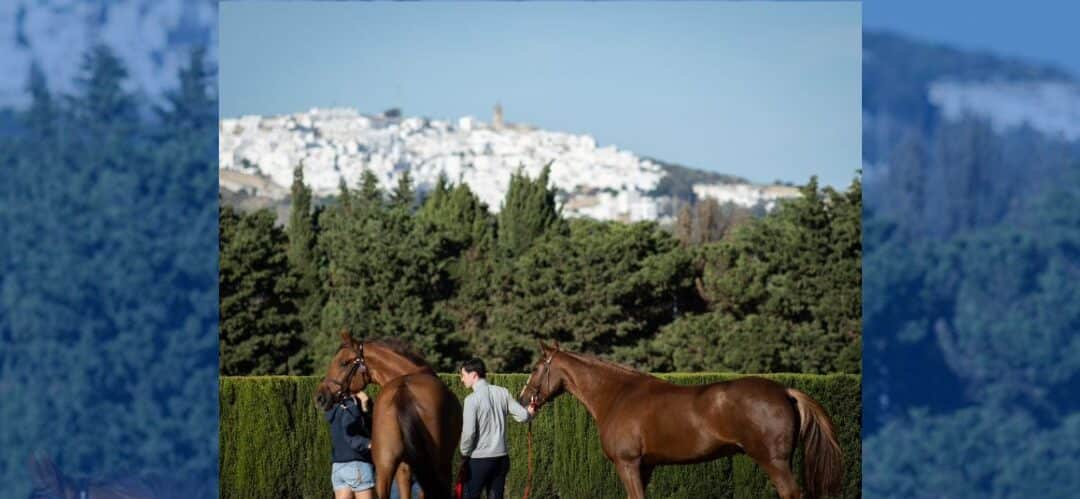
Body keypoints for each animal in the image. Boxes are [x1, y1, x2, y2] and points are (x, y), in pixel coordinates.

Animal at [315, 332, 462, 499]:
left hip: (385, 464)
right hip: (434, 464)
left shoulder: (403, 467)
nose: (320, 397)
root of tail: (403, 390)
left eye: (343, 363)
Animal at [516, 343, 842, 499]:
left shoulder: (627, 463)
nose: (522, 398)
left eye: (536, 367)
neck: (618, 395)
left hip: (774, 461)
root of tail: (785, 391)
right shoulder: (645, 467)